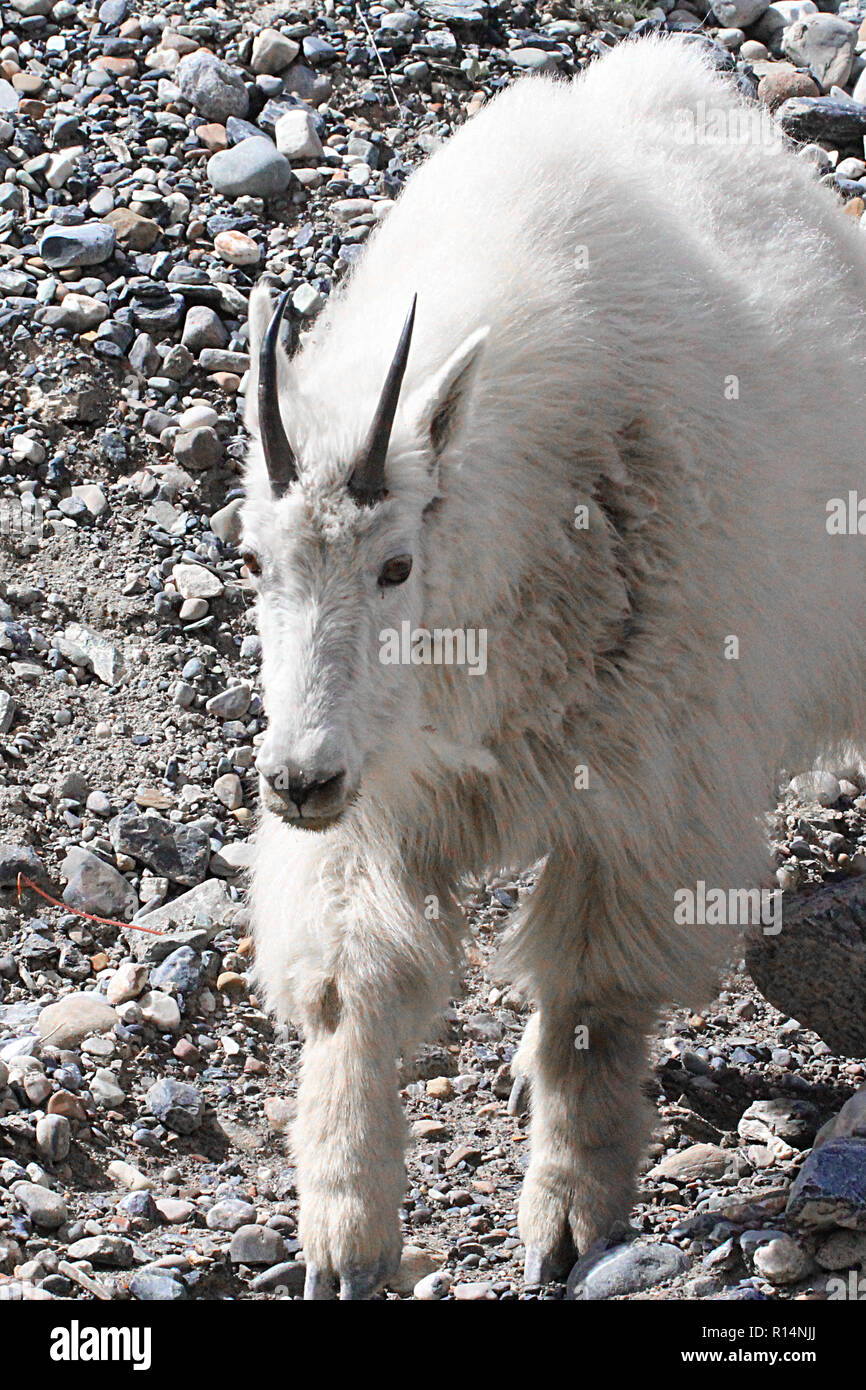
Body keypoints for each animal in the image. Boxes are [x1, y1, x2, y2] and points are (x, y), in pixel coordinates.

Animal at [241, 34, 866, 1298]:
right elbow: (350, 990)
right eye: (251, 558)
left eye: (394, 563)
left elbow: (589, 1001)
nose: (294, 780)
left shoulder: (639, 791)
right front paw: (343, 1238)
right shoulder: (382, 798)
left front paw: (567, 1223)